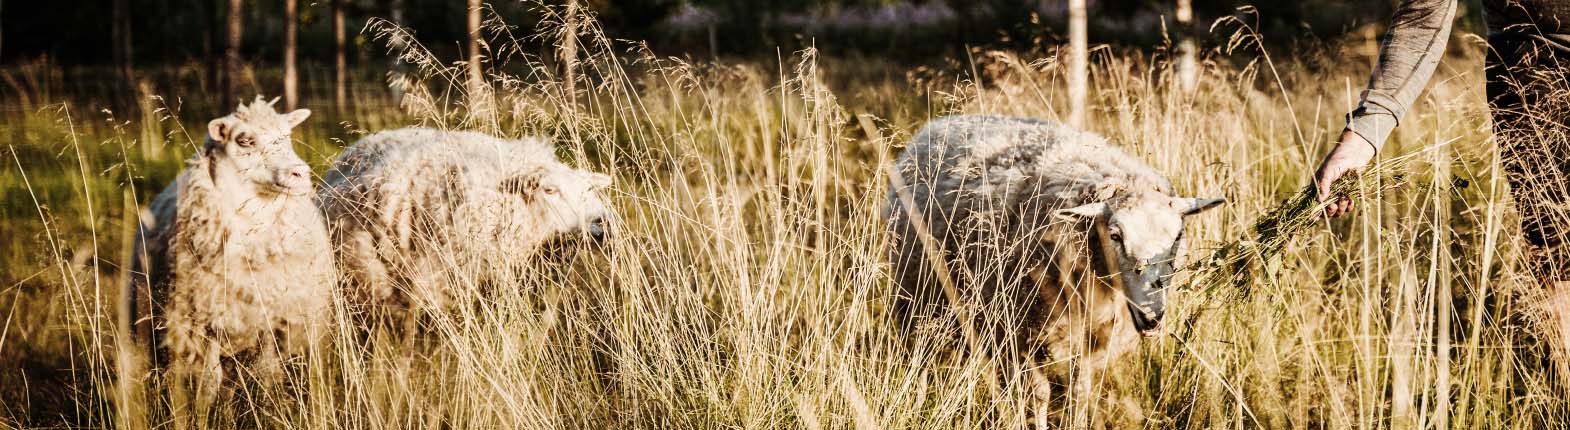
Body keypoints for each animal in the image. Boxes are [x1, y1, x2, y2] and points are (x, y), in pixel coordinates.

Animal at [127, 96, 335, 423]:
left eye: (287, 136)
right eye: (244, 140)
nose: (300, 173)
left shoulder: (272, 323)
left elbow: (266, 377)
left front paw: (264, 412)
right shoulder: (202, 326)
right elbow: (207, 385)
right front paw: (203, 419)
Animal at [891, 115, 1218, 389]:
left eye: (1178, 235)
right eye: (1115, 235)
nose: (1152, 317)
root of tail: (937, 123)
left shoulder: (1087, 343)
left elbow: (1079, 391)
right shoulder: (1021, 334)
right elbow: (1039, 393)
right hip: (915, 300)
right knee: (921, 359)